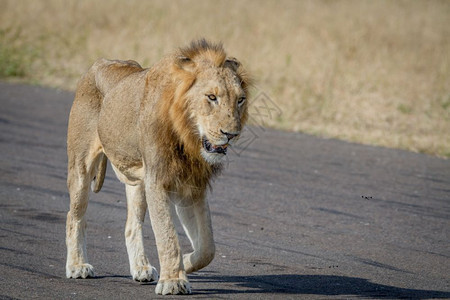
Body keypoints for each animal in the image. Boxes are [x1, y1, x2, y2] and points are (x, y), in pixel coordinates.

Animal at [65, 39, 251, 296]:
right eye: (212, 97)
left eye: (240, 99)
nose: (231, 134)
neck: (188, 137)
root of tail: (99, 63)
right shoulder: (158, 180)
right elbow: (167, 235)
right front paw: (173, 281)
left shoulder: (191, 188)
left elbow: (207, 247)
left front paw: (185, 263)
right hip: (81, 167)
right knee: (74, 217)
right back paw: (77, 266)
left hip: (137, 180)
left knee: (131, 225)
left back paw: (141, 268)